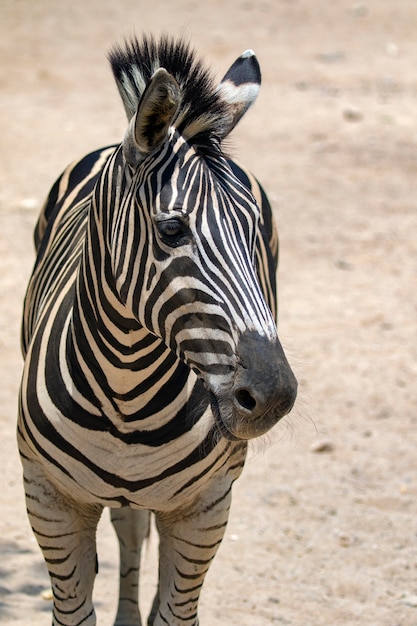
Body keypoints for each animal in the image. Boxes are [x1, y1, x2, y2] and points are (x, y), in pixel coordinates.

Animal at [18, 35, 296, 624]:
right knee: (128, 528)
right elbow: (74, 609)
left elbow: (174, 612)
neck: (128, 392)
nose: (275, 396)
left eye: (254, 232)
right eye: (171, 229)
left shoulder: (206, 506)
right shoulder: (50, 499)